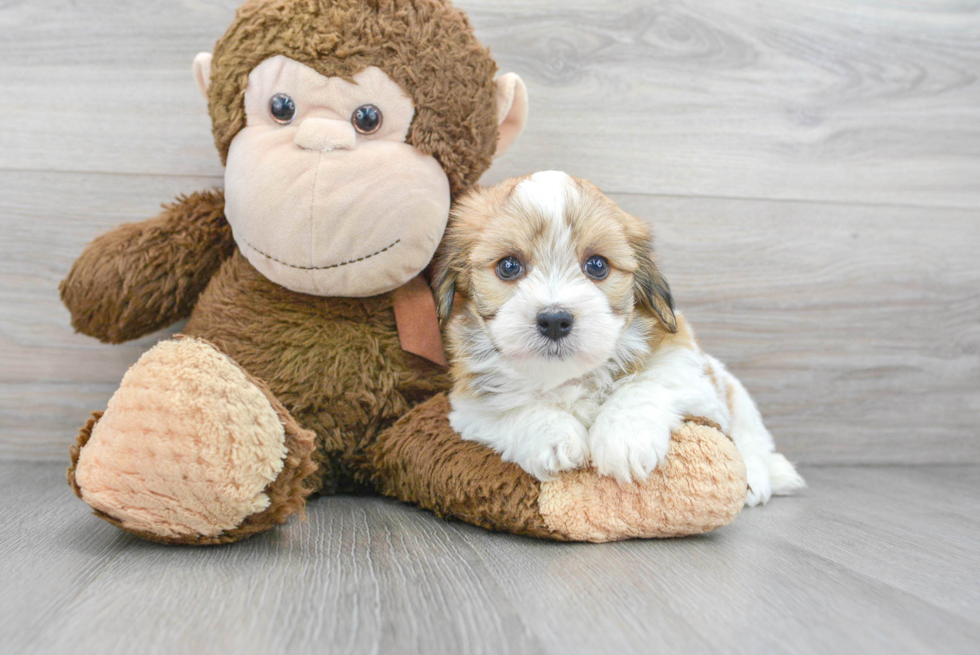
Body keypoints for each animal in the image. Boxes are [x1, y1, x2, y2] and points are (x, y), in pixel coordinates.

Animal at [436, 170, 804, 508]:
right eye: (509, 266)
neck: (568, 376)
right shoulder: (469, 407)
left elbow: (647, 383)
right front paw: (553, 436)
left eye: (597, 265)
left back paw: (764, 475)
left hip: (736, 394)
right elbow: (510, 408)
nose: (554, 320)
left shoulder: (688, 371)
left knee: (752, 440)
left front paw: (625, 438)